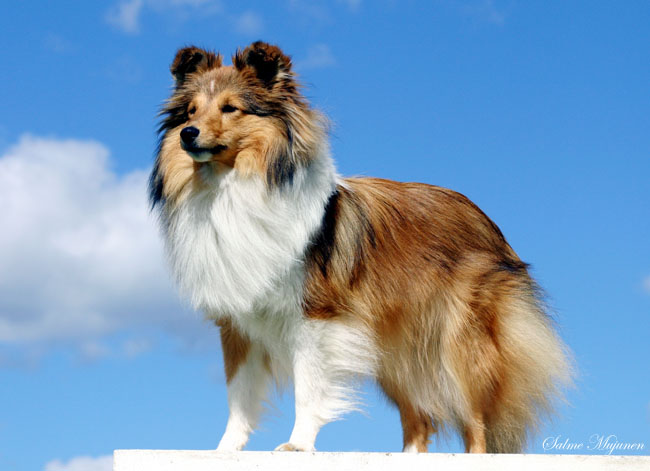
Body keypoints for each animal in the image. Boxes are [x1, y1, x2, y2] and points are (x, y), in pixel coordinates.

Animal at [150, 41, 571, 453]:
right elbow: (239, 398)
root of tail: (487, 221)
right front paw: (223, 451)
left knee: (475, 419)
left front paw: (298, 445)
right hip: (397, 351)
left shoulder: (314, 317)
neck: (233, 187)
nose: (188, 133)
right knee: (418, 420)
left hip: (458, 345)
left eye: (230, 108)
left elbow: (308, 387)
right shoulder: (238, 325)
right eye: (190, 110)